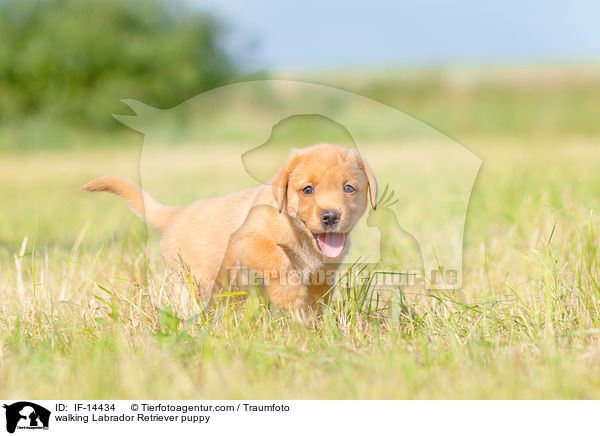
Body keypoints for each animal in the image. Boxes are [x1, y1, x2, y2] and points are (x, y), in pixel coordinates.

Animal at [82, 145, 378, 312]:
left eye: (348, 188)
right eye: (307, 190)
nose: (330, 216)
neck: (303, 238)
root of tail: (176, 213)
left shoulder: (323, 275)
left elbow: (318, 301)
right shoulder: (249, 239)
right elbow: (279, 262)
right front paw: (290, 298)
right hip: (191, 280)